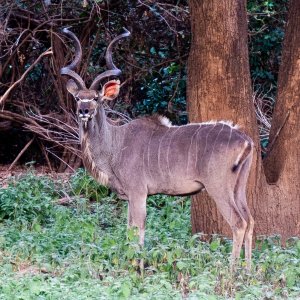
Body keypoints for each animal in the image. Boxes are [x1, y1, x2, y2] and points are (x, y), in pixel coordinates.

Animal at [61, 28, 255, 270]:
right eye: (78, 98)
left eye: (96, 98)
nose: (84, 111)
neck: (115, 144)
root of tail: (246, 140)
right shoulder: (131, 196)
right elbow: (129, 229)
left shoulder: (138, 192)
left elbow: (138, 230)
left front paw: (138, 267)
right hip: (239, 187)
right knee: (250, 220)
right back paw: (249, 271)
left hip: (218, 187)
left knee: (239, 222)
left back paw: (232, 272)